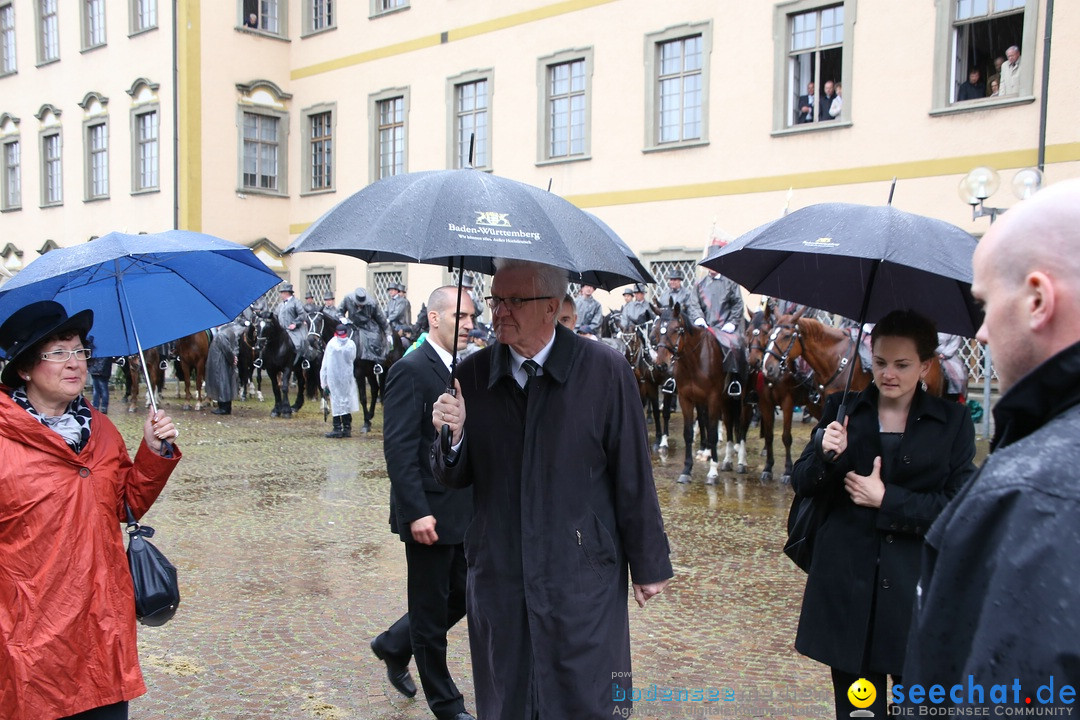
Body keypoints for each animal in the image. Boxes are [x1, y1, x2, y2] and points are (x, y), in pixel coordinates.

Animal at [652, 302, 747, 483]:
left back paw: (741, 461)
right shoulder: (686, 399)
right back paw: (727, 460)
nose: (661, 365)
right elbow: (689, 433)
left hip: (737, 400)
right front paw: (686, 470)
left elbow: (713, 433)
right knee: (728, 423)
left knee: (739, 425)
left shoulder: (713, 399)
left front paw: (713, 471)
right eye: (658, 329)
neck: (694, 361)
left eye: (677, 330)